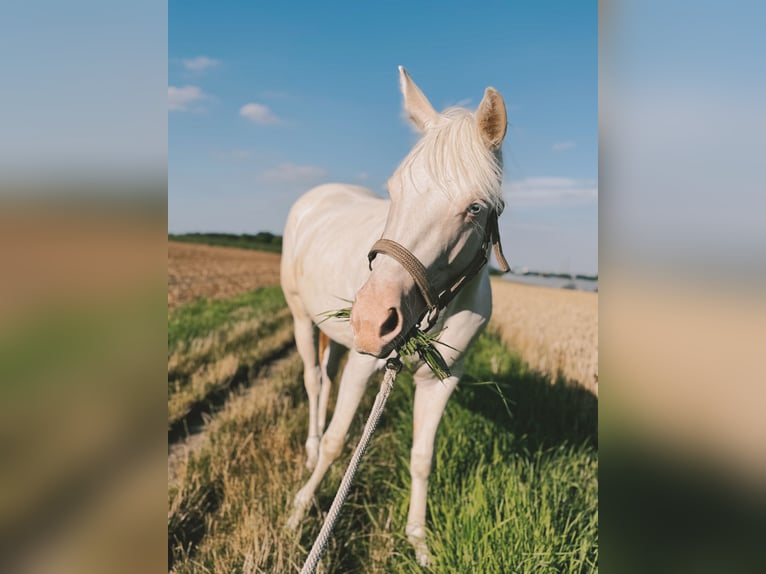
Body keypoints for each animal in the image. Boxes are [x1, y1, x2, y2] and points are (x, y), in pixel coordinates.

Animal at [282, 67, 510, 568]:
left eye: (475, 208)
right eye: (393, 189)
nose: (371, 320)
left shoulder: (444, 380)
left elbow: (422, 458)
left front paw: (419, 542)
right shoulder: (364, 362)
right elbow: (337, 441)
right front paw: (301, 507)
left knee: (323, 378)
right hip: (301, 316)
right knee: (313, 382)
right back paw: (308, 450)